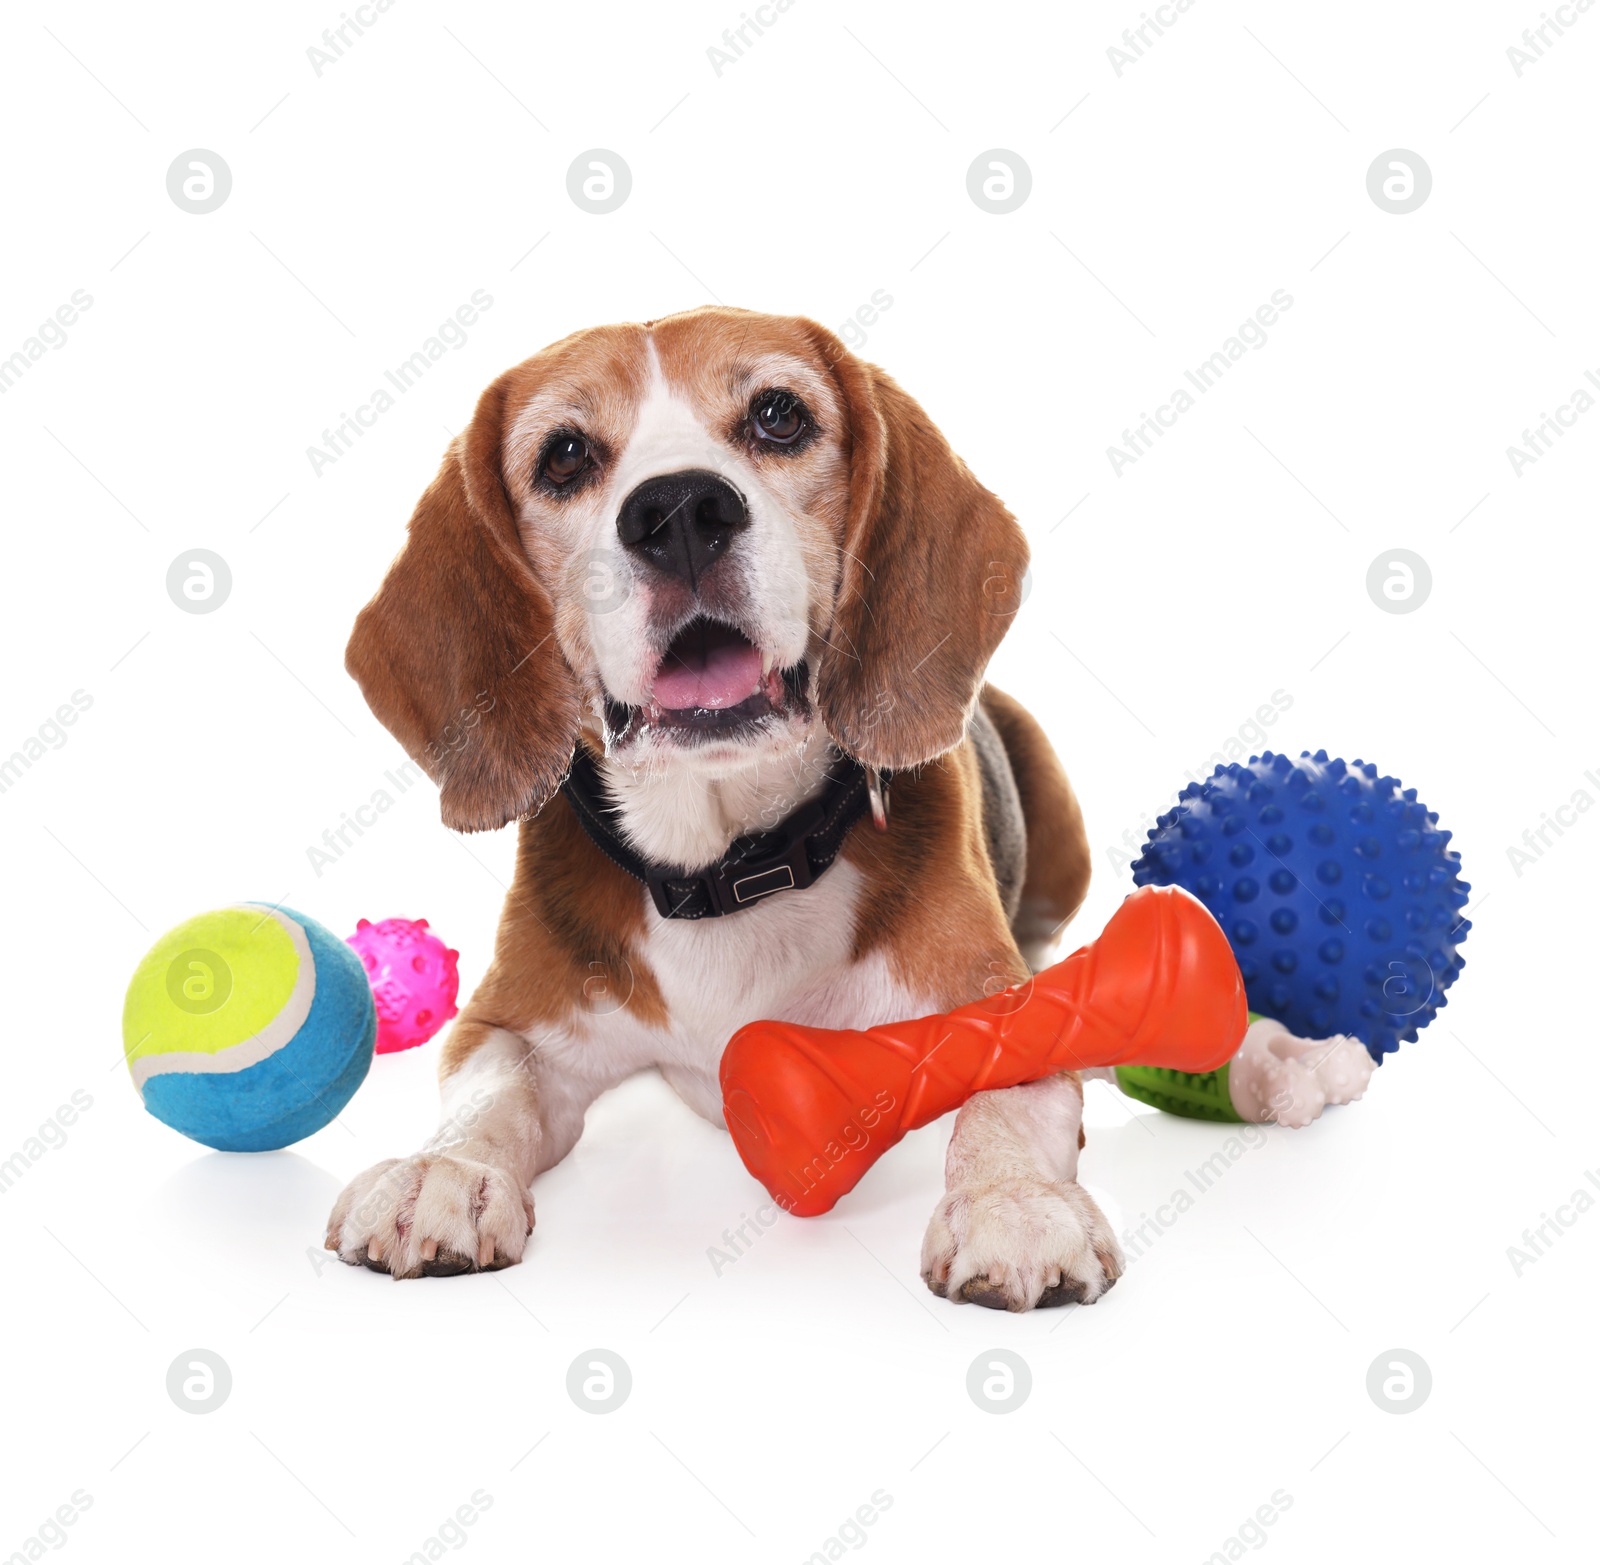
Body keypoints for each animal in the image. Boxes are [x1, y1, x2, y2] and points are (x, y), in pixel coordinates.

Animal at [323, 305, 1120, 1305]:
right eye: (564, 455)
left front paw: (1014, 1202)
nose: (678, 511)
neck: (729, 865)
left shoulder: (998, 1013)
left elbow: (1003, 1102)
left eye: (779, 415)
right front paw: (442, 1170)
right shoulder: (506, 1025)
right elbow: (488, 1096)